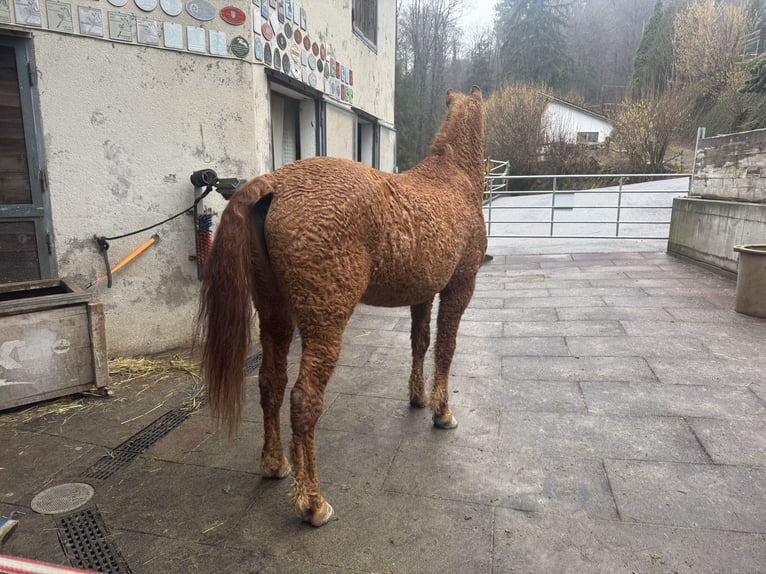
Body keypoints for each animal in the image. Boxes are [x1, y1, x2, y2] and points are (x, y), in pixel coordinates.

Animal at [197, 86, 486, 526]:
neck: (453, 179)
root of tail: (274, 183)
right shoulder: (459, 287)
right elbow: (446, 349)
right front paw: (442, 413)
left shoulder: (422, 294)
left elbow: (420, 343)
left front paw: (418, 397)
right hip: (324, 322)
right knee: (303, 400)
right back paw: (313, 503)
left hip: (275, 314)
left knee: (270, 383)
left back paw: (275, 464)